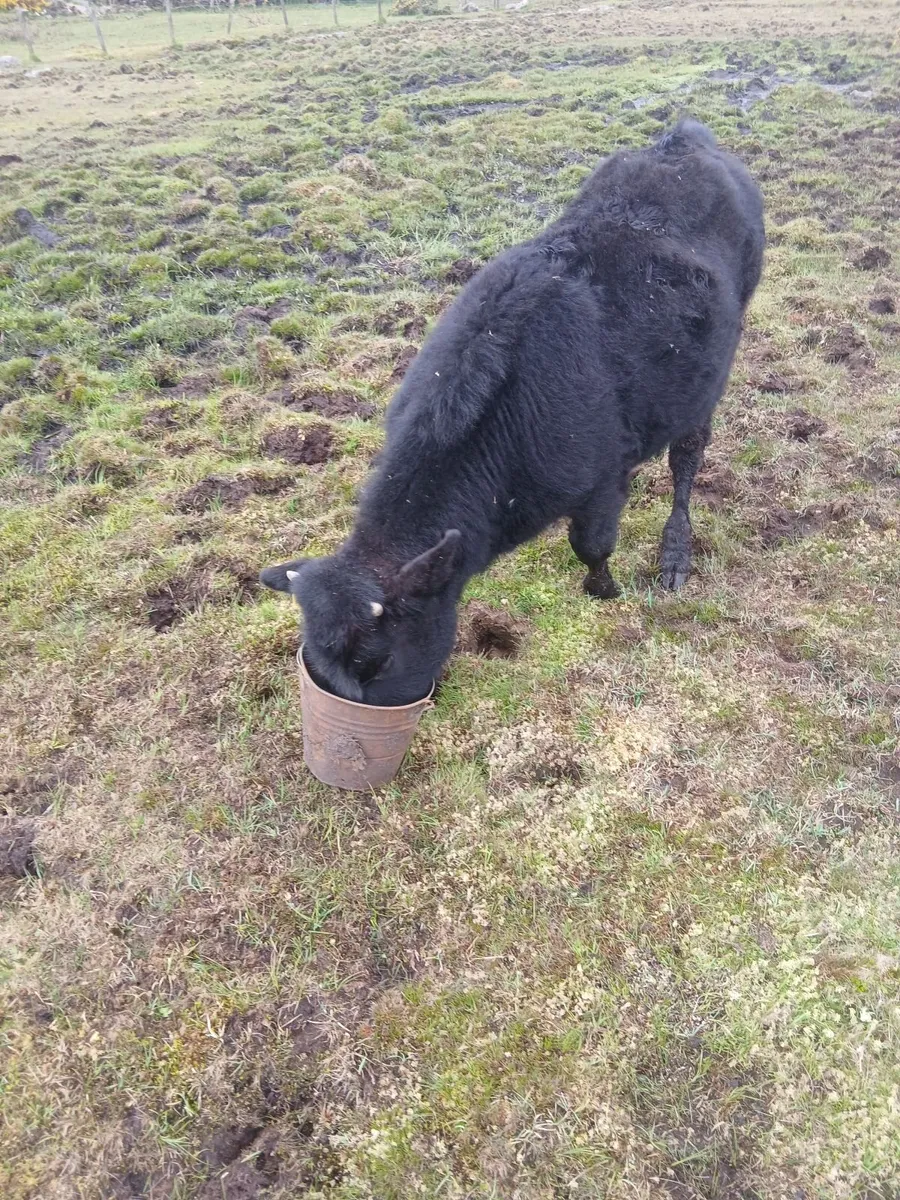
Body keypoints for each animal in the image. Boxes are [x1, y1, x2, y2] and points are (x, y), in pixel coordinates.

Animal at [260, 120, 764, 707]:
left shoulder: (601, 477)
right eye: (315, 663)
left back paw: (675, 552)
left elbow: (591, 545)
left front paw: (604, 591)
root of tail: (683, 139)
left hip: (721, 353)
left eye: (377, 660)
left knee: (688, 452)